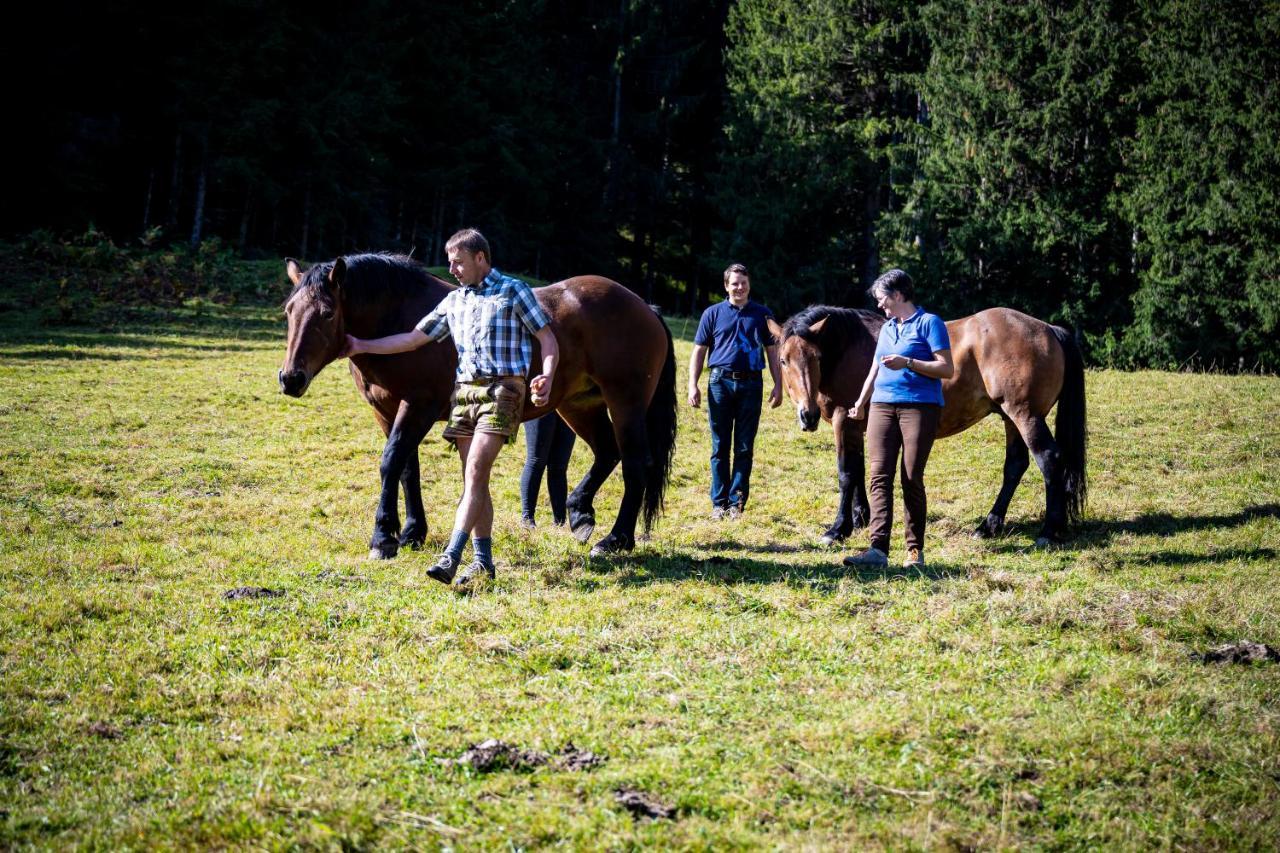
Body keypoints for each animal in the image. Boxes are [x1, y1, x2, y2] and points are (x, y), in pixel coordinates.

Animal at [280, 252, 680, 558]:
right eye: (288, 311)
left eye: (327, 313)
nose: (290, 378)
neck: (401, 319)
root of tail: (645, 307)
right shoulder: (386, 412)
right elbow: (407, 469)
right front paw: (411, 532)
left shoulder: (418, 407)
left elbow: (391, 462)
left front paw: (383, 537)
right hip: (579, 405)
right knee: (607, 452)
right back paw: (580, 514)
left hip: (626, 403)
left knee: (635, 464)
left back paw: (616, 539)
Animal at [768, 306, 1090, 545]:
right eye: (783, 361)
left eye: (816, 357)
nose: (807, 415)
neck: (849, 347)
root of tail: (1049, 330)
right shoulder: (857, 426)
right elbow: (859, 472)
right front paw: (860, 518)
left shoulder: (843, 421)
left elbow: (846, 474)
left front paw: (838, 529)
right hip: (1011, 418)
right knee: (1015, 465)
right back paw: (988, 526)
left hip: (1026, 416)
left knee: (1049, 460)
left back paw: (1048, 531)